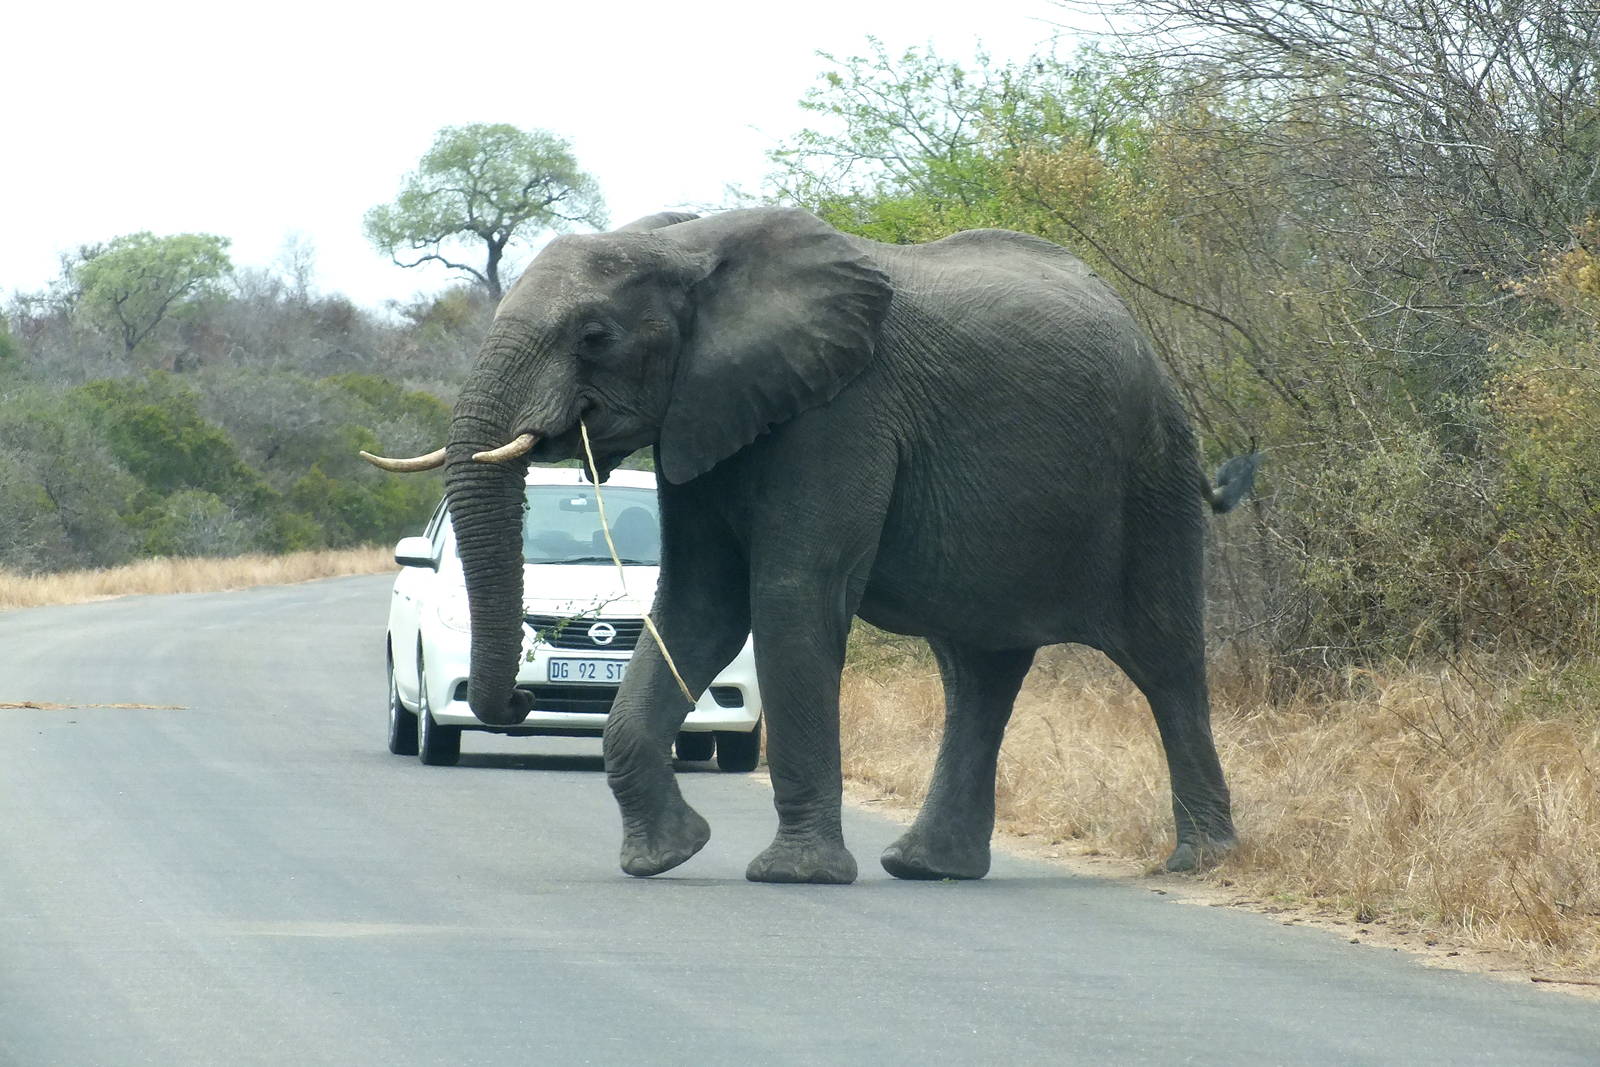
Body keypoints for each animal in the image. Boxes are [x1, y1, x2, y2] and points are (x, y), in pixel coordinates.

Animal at [362, 206, 1259, 885]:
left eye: (593, 336)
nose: (519, 698)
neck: (688, 245)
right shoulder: (705, 414)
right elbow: (697, 605)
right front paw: (664, 857)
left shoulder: (841, 411)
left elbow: (789, 597)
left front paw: (793, 875)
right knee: (978, 672)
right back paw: (928, 867)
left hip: (1150, 470)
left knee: (1164, 659)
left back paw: (1201, 862)